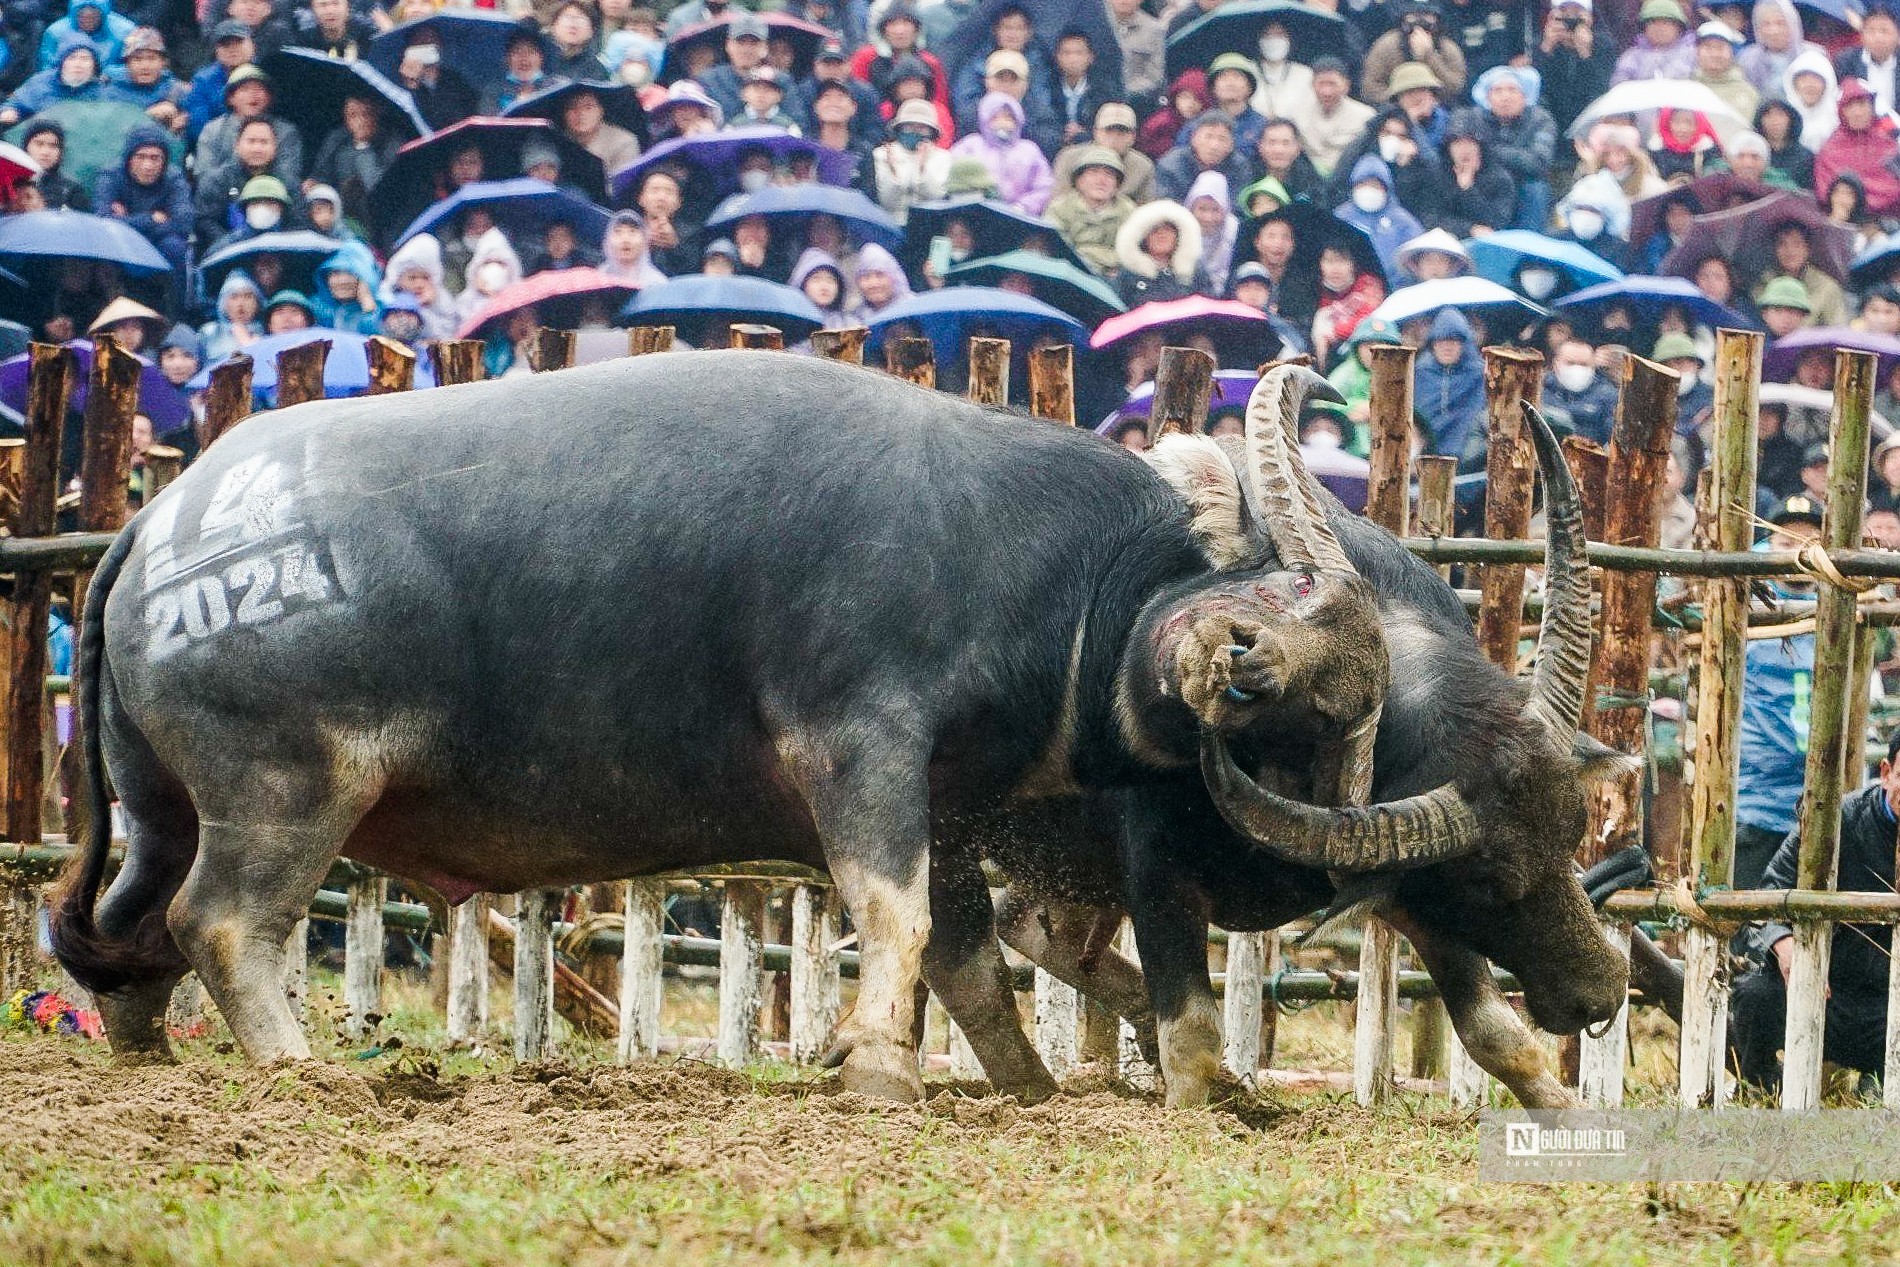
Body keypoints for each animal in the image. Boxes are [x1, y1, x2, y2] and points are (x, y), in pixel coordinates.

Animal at [48, 349, 1383, 1101]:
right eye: (1287, 702)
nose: (1285, 882)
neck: (1051, 582)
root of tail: (164, 518)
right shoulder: (863, 750)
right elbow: (896, 915)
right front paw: (875, 1066)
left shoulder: (944, 800)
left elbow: (964, 952)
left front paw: (1027, 1083)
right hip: (282, 793)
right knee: (222, 923)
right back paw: (298, 1067)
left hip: (163, 807)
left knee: (126, 922)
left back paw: (143, 1050)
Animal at [965, 397, 1634, 1109]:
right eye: (1487, 882)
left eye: (1572, 835)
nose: (1599, 993)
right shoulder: (1158, 876)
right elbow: (1193, 1038)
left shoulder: (1408, 892)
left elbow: (1496, 1034)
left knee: (1033, 927)